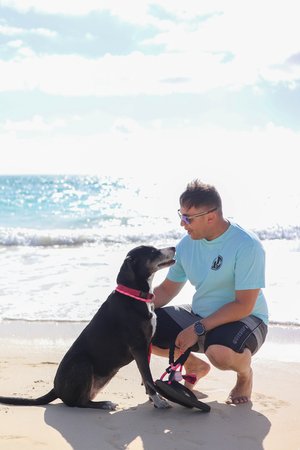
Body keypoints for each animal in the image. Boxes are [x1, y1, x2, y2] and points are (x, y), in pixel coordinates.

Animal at [0, 246, 176, 412]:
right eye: (152, 252)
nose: (174, 248)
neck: (134, 294)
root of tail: (56, 389)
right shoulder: (138, 347)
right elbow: (148, 378)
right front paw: (159, 401)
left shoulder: (146, 346)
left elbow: (146, 379)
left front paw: (154, 399)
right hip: (82, 363)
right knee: (79, 403)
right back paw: (105, 404)